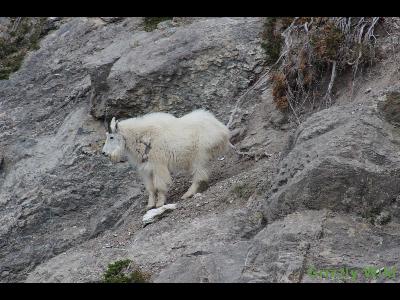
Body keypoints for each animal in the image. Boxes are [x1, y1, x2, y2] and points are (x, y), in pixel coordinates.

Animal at [101, 109, 230, 210]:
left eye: (111, 137)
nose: (104, 153)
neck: (141, 138)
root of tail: (222, 129)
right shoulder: (145, 169)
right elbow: (150, 188)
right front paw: (150, 205)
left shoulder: (158, 165)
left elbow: (159, 185)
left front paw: (159, 203)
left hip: (199, 156)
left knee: (199, 175)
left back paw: (187, 194)